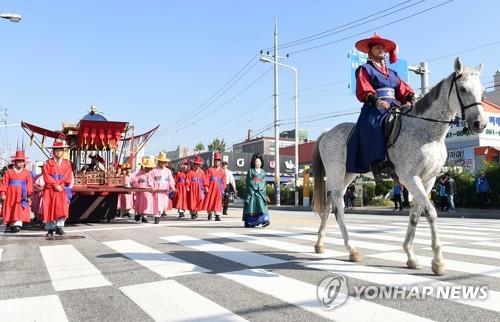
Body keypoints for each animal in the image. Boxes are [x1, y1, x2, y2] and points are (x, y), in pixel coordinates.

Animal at [314, 57, 486, 274]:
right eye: (462, 89)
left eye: (482, 90)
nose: (480, 124)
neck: (427, 133)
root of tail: (327, 133)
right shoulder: (409, 178)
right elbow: (431, 213)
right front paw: (438, 261)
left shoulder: (428, 180)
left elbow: (415, 215)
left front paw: (411, 256)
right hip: (336, 173)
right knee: (339, 208)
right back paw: (352, 249)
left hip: (347, 175)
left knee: (329, 204)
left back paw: (320, 244)